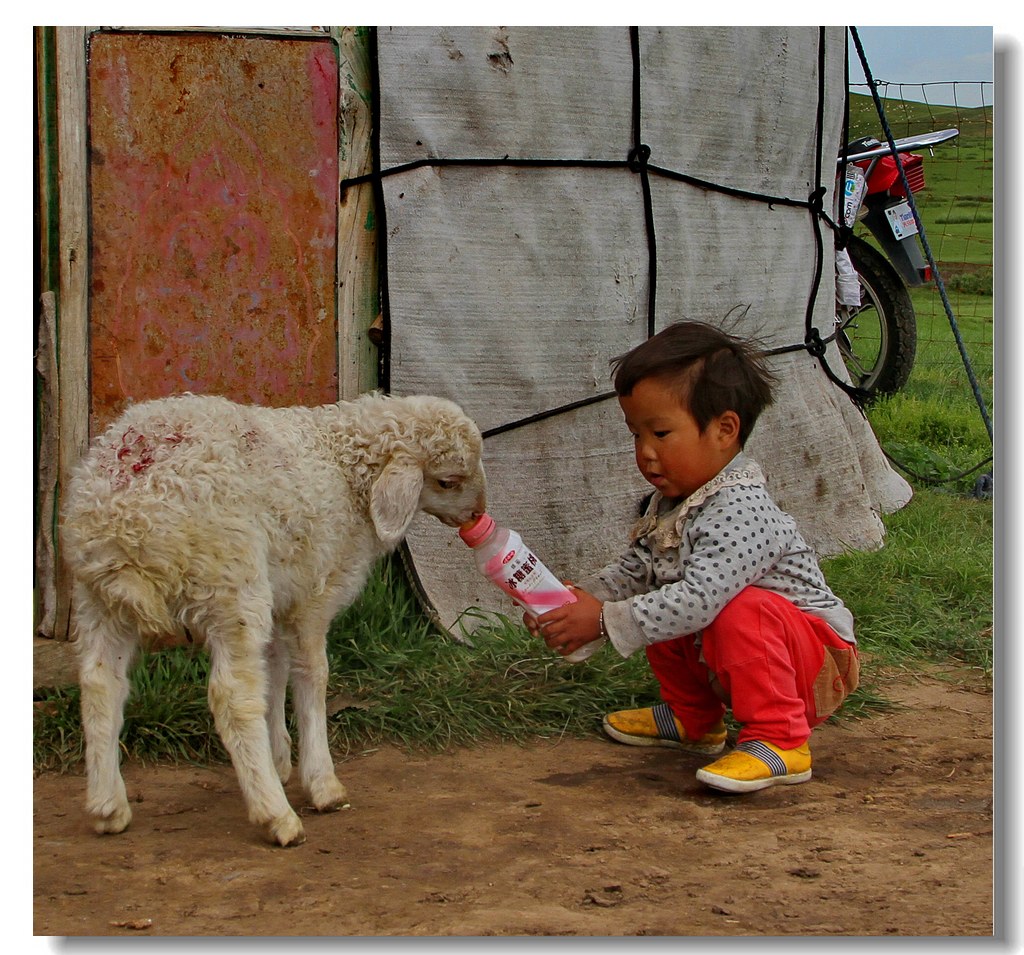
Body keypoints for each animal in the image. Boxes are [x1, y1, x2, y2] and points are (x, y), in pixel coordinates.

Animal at [62, 391, 487, 847]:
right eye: (448, 481)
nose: (477, 515)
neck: (344, 462)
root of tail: (126, 516)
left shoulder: (283, 593)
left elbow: (274, 673)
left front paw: (279, 757)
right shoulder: (314, 593)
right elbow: (312, 676)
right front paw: (320, 782)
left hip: (99, 600)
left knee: (101, 685)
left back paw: (108, 807)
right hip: (229, 582)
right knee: (231, 697)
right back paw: (275, 815)